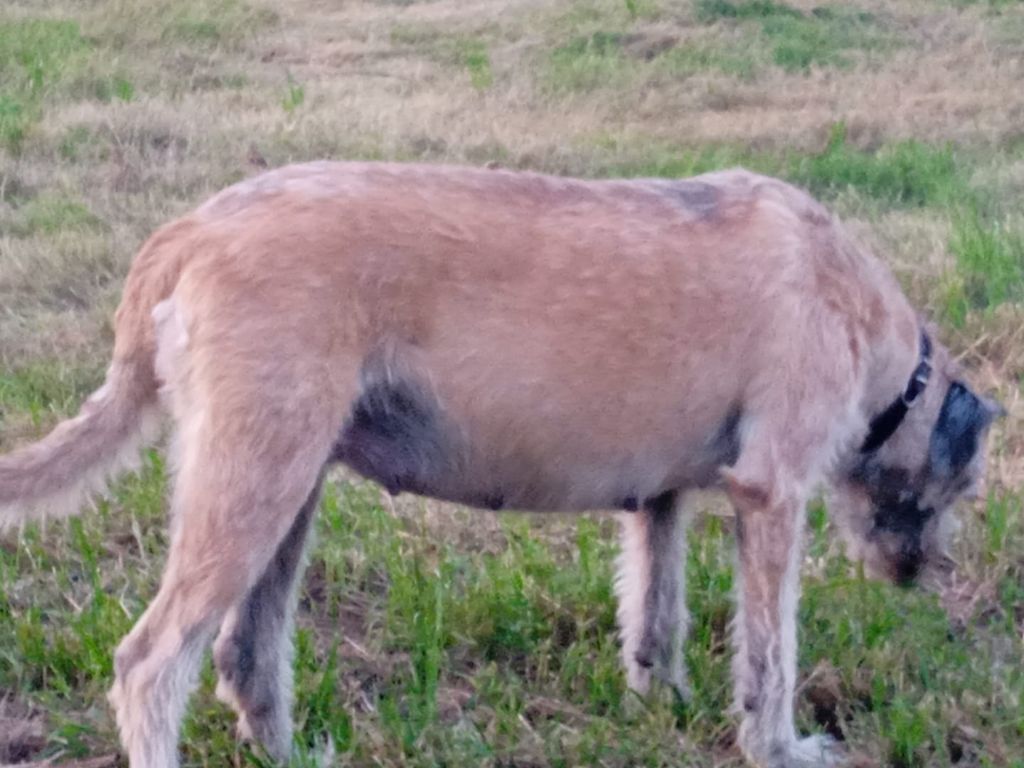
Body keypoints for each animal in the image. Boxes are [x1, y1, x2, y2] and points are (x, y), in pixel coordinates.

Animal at [0, 163, 995, 768]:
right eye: (966, 484)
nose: (919, 575)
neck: (876, 336)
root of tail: (185, 233)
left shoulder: (659, 498)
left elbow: (658, 607)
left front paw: (661, 702)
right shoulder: (773, 492)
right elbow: (772, 654)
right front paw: (780, 746)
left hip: (284, 483)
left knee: (245, 651)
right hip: (252, 480)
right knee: (150, 662)